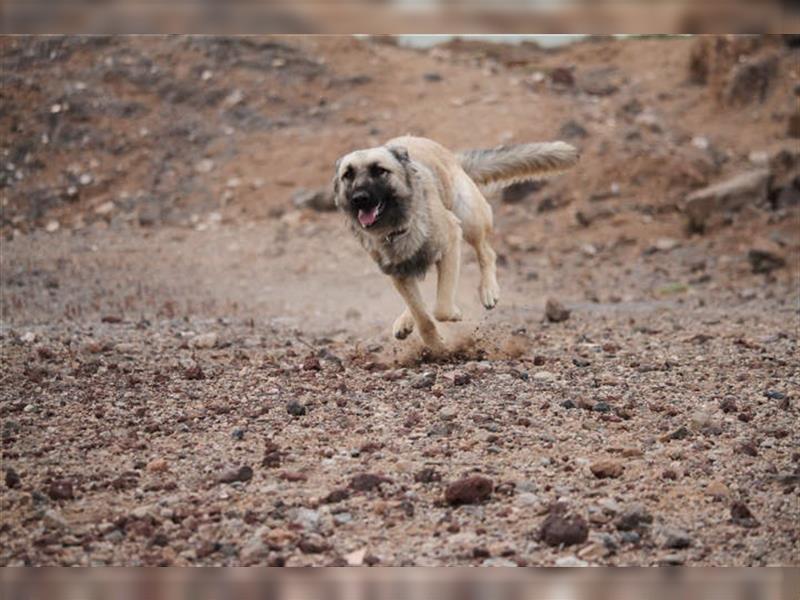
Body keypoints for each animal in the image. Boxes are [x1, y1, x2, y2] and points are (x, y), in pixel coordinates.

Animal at [334, 136, 580, 354]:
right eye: (348, 175)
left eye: (379, 171)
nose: (359, 198)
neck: (398, 228)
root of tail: (451, 156)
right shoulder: (397, 273)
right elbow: (422, 316)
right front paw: (435, 345)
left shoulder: (451, 241)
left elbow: (441, 309)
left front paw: (453, 317)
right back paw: (406, 320)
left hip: (470, 218)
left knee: (487, 253)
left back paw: (489, 290)